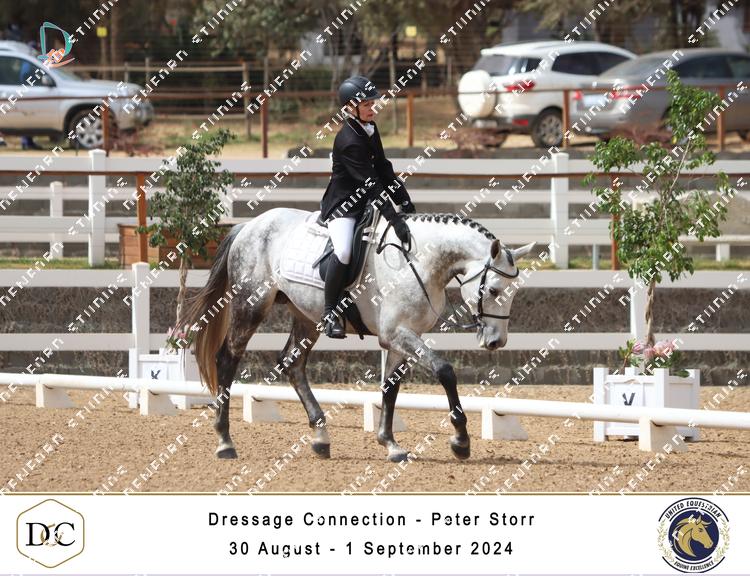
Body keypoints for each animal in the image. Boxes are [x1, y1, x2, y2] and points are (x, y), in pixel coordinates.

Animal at [178, 208, 534, 462]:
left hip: (305, 316)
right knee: (227, 359)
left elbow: (390, 388)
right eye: (493, 289)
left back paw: (320, 437)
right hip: (250, 305)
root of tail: (250, 226)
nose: (496, 342)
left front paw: (390, 444)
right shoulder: (398, 333)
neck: (420, 261)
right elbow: (445, 371)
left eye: (516, 292)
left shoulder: (402, 337)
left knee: (293, 364)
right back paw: (225, 442)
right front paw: (460, 441)